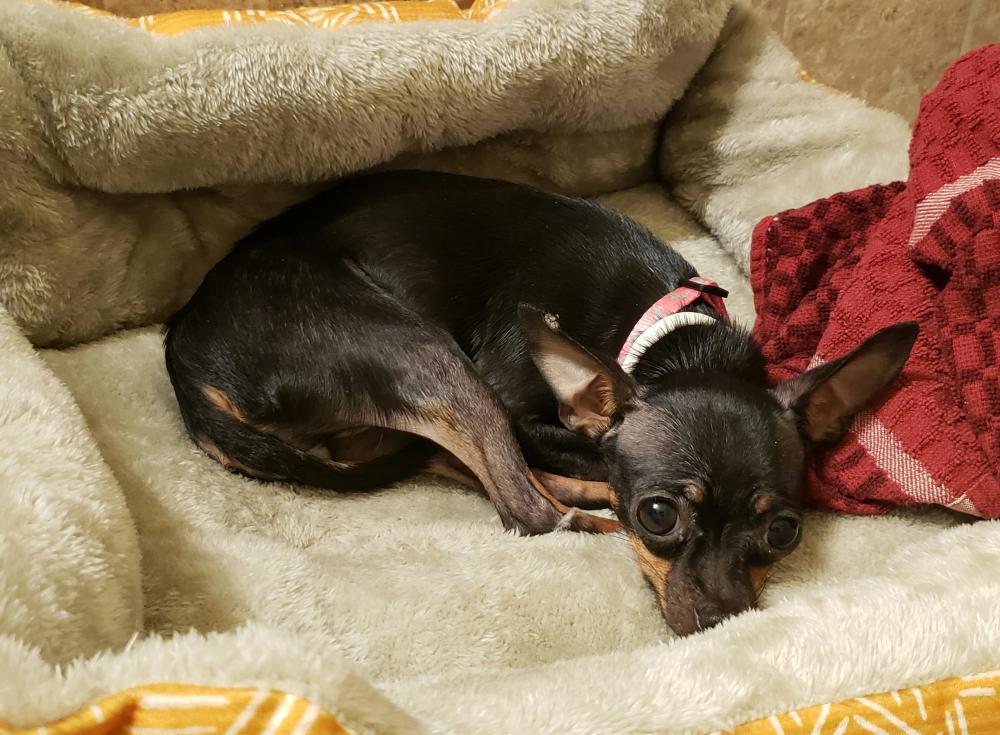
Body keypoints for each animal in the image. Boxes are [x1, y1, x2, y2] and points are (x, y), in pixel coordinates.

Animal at [164, 170, 917, 635]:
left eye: (785, 532)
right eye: (658, 515)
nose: (721, 621)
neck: (673, 341)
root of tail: (184, 358)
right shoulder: (516, 403)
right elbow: (575, 453)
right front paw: (606, 492)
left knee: (468, 470)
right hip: (425, 353)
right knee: (525, 510)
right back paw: (585, 510)